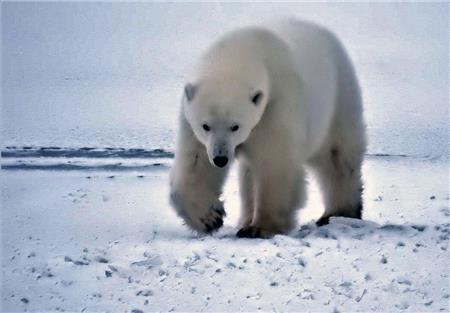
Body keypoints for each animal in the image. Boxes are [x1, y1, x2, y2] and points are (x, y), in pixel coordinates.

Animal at [169, 18, 366, 238]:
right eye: (205, 126)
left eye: (235, 126)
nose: (220, 159)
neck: (242, 50)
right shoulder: (191, 122)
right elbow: (196, 162)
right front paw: (209, 218)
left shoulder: (276, 104)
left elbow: (274, 163)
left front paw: (259, 228)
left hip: (338, 98)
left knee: (336, 156)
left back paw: (338, 213)